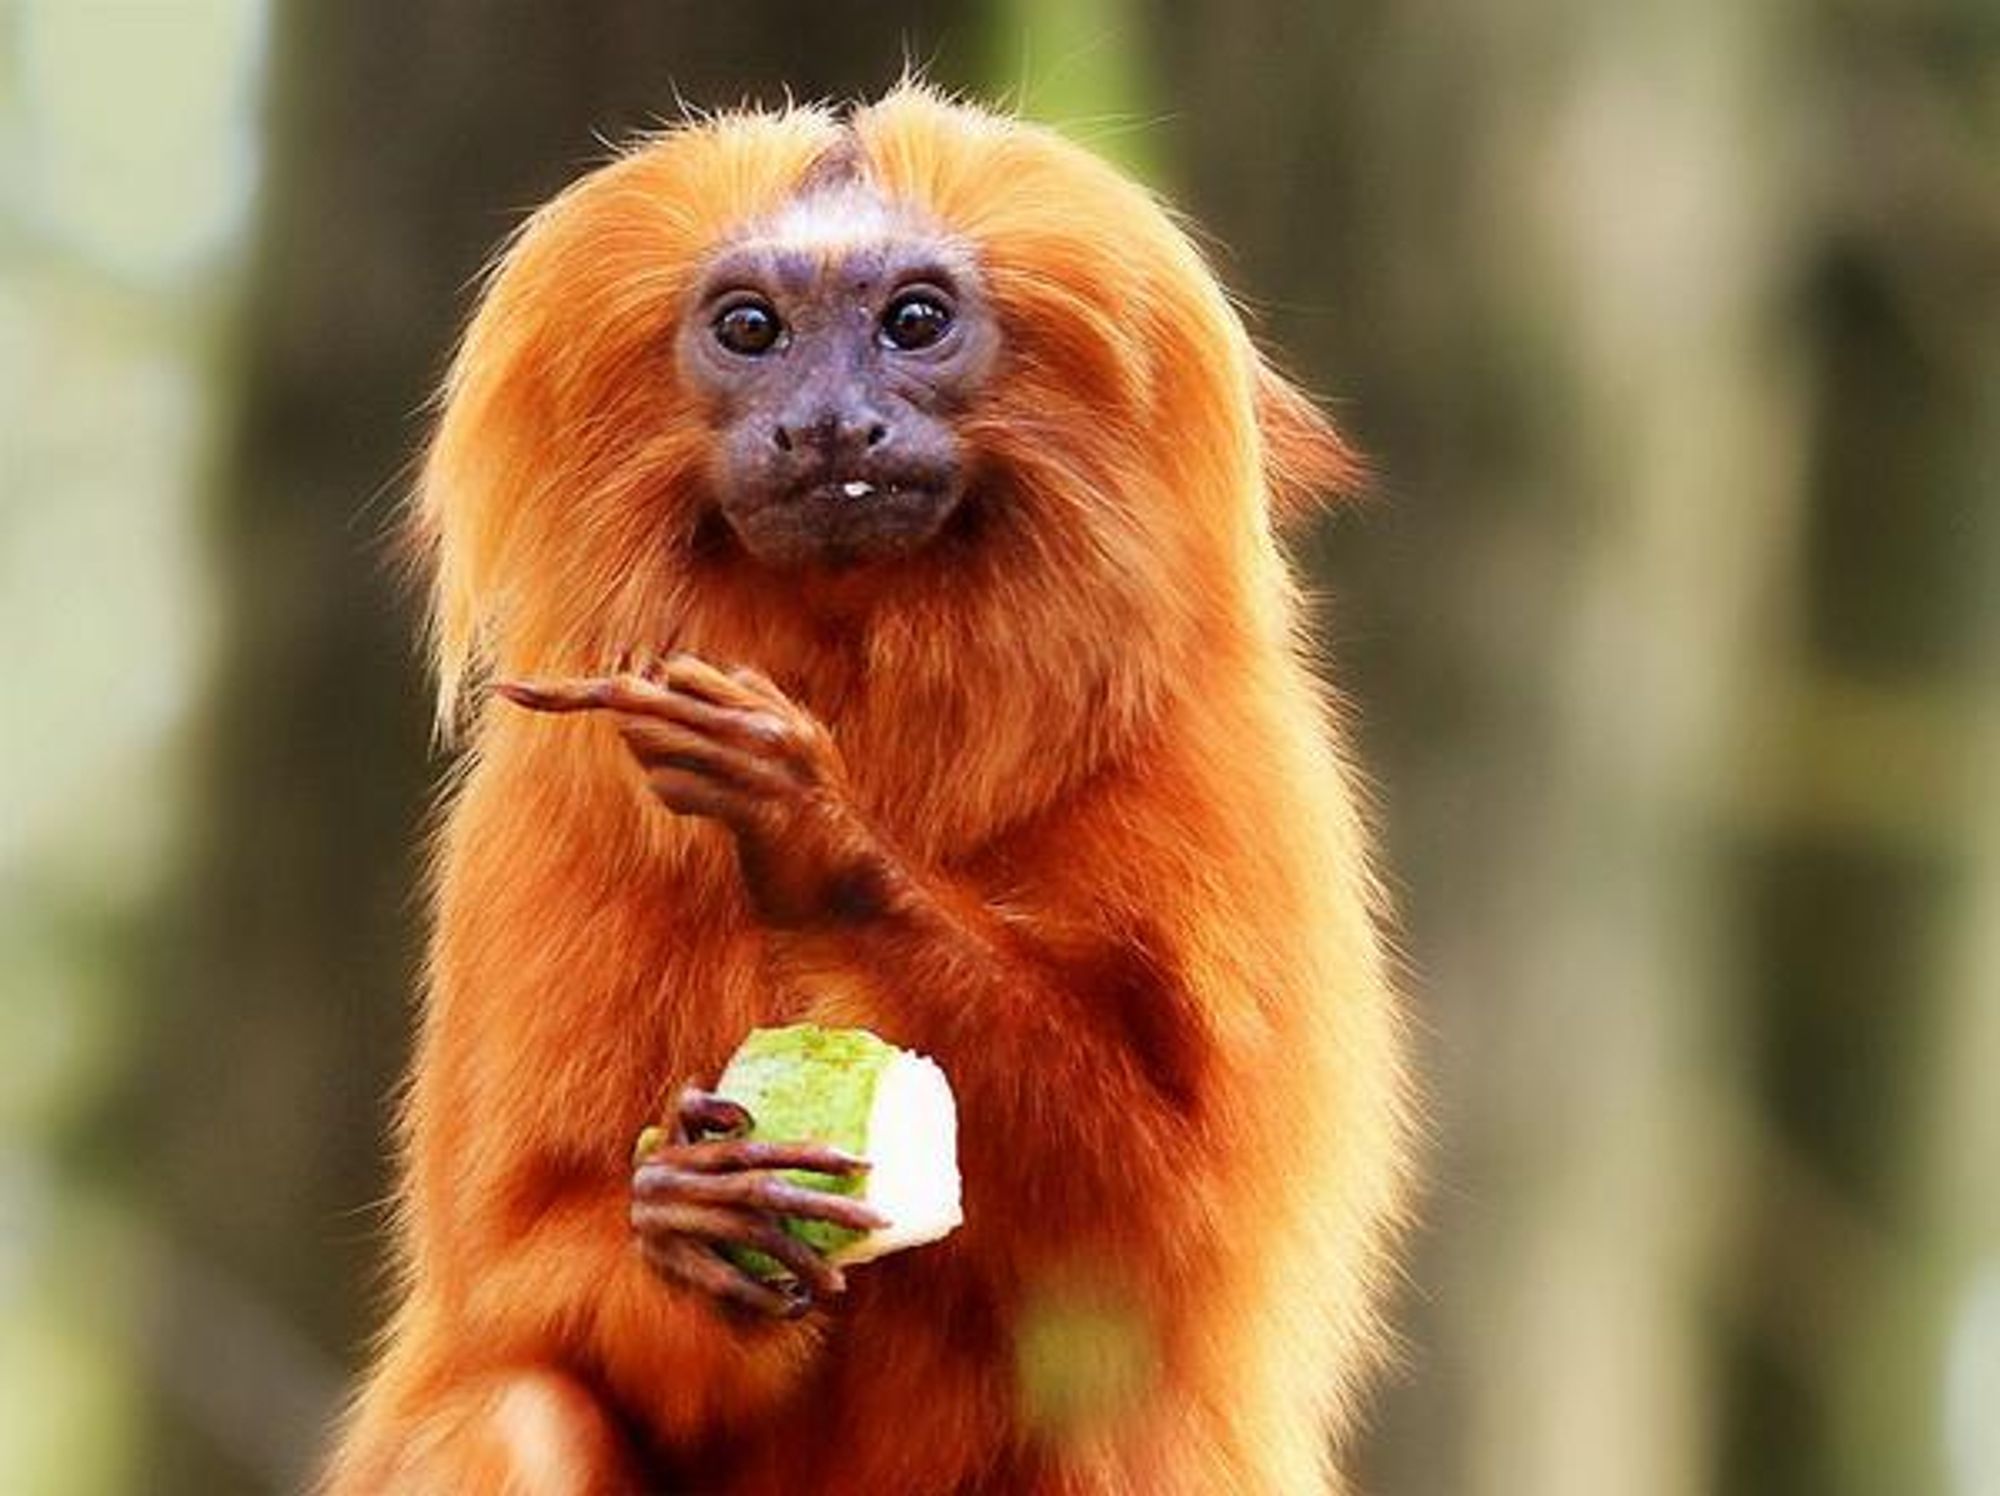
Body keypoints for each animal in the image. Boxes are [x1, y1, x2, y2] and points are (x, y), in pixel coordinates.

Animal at [328, 84, 1416, 1496]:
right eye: (752, 329)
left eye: (912, 321)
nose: (831, 420)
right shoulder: (540, 812)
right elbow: (502, 1276)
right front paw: (690, 1226)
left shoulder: (1226, 759)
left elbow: (1192, 1231)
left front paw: (815, 836)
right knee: (514, 1411)